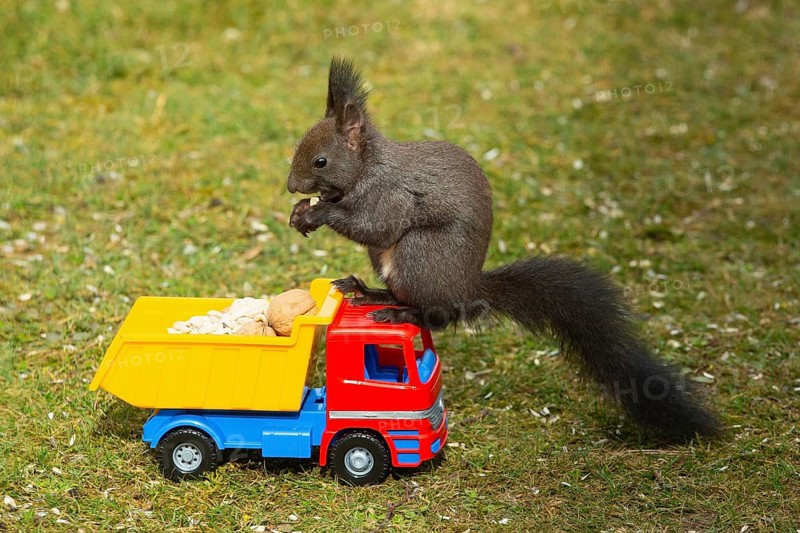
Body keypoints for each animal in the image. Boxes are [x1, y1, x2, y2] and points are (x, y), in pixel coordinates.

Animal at [286, 57, 721, 442]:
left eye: (320, 161)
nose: (292, 186)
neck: (366, 167)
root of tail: (468, 289)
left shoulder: (390, 194)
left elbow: (376, 226)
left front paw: (317, 213)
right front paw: (303, 211)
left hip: (419, 255)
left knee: (439, 314)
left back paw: (400, 312)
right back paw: (370, 292)